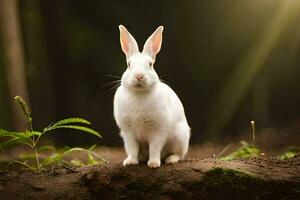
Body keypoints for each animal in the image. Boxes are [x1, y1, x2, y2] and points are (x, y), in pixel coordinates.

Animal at [113, 25, 191, 169]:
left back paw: (170, 160)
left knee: (178, 154)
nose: (139, 76)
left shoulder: (157, 130)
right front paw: (130, 162)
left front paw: (154, 164)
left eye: (150, 64)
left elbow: (154, 148)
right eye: (129, 65)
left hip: (180, 138)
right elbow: (133, 148)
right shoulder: (128, 133)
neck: (139, 93)